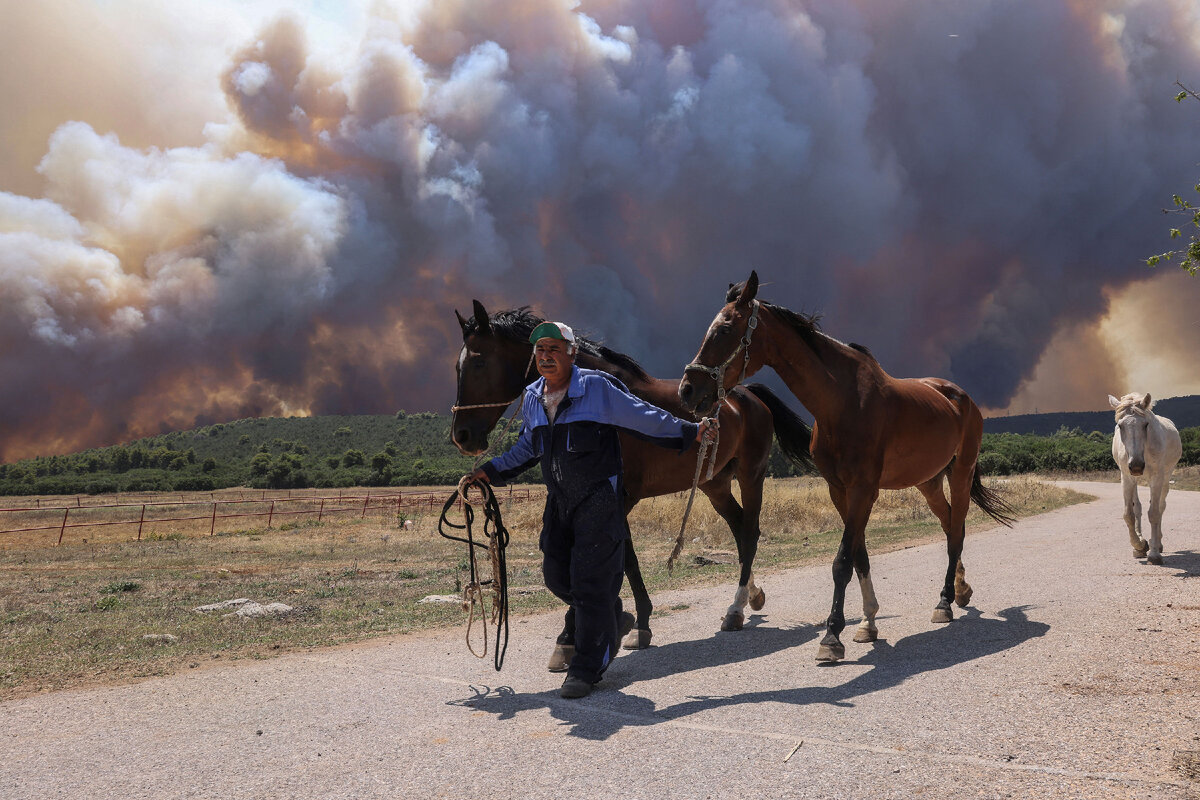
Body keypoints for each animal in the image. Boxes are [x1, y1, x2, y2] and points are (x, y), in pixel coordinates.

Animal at [676, 273, 1012, 662]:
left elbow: (842, 562)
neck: (843, 402)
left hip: (960, 474)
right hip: (928, 481)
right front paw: (868, 623)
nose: (687, 390)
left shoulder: (864, 489)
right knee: (949, 527)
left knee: (956, 533)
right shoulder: (840, 490)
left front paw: (832, 636)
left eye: (726, 328)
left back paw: (944, 602)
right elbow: (859, 556)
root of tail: (960, 397)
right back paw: (959, 590)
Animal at [1104, 393, 1180, 566]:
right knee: (1137, 506)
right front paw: (1139, 545)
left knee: (1161, 507)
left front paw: (1154, 554)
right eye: (1120, 426)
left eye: (1146, 425)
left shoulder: (1157, 478)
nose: (1137, 466)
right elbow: (1129, 514)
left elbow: (1154, 513)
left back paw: (1157, 543)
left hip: (1166, 477)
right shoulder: (1126, 477)